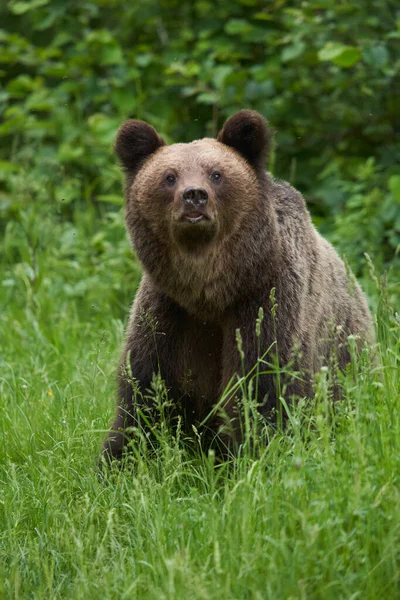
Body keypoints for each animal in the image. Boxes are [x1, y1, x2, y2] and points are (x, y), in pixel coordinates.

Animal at [101, 110, 374, 462]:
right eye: (169, 177)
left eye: (216, 174)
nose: (195, 195)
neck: (211, 290)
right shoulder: (167, 312)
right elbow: (145, 394)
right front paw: (120, 459)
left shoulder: (265, 300)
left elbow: (262, 386)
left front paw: (254, 453)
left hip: (347, 359)